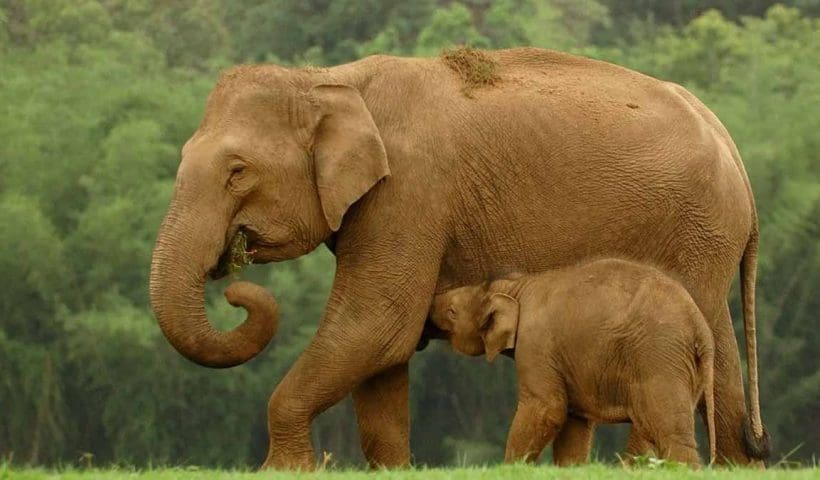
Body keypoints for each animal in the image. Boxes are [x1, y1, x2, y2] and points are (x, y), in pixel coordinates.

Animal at [428, 259, 716, 467]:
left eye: (452, 312)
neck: (515, 287)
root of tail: (699, 326)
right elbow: (574, 425)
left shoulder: (536, 346)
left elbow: (548, 408)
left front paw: (511, 469)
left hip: (658, 357)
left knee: (669, 431)